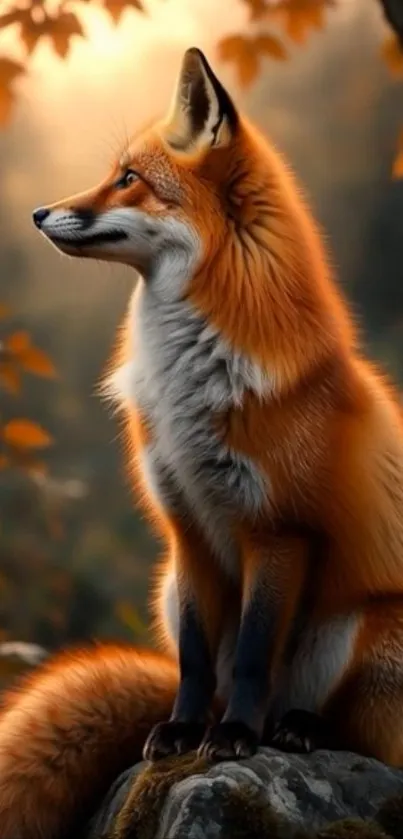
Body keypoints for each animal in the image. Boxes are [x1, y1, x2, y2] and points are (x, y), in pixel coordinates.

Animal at [1, 45, 403, 839]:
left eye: (129, 178)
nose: (36, 212)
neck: (191, 382)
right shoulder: (184, 527)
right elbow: (191, 660)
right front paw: (184, 733)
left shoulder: (277, 529)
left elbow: (249, 653)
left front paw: (235, 737)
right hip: (164, 586)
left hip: (364, 632)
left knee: (359, 733)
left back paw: (293, 728)